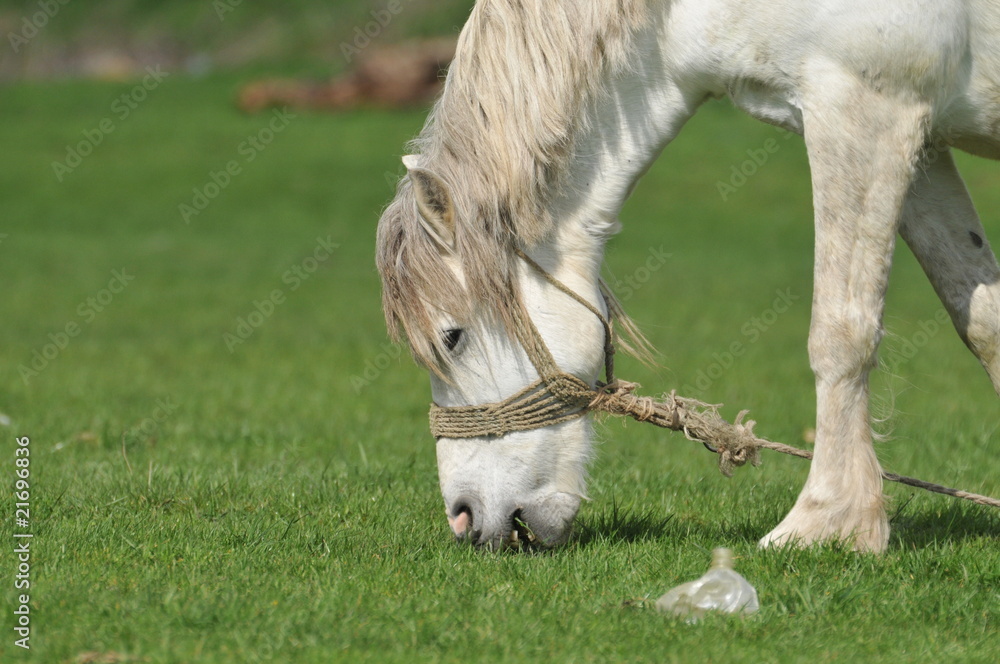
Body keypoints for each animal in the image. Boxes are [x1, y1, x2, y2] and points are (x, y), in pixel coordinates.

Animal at [376, 0, 1000, 551]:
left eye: (451, 338)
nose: (462, 518)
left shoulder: (866, 112)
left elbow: (842, 333)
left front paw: (825, 523)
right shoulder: (919, 141)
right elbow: (983, 320)